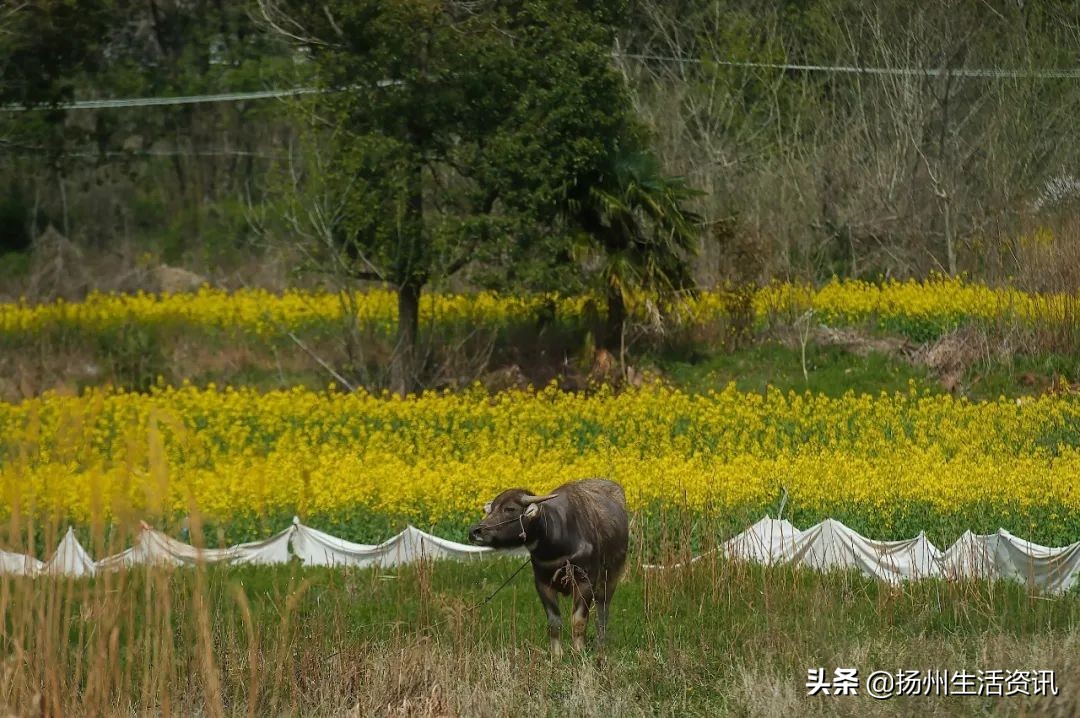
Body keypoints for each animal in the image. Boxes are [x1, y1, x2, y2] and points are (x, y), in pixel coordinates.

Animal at [466, 475, 630, 656]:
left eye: (509, 508)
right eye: (490, 509)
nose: (474, 531)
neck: (557, 541)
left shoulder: (585, 580)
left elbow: (579, 620)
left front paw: (579, 652)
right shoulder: (543, 583)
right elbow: (554, 622)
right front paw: (557, 654)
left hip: (611, 576)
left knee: (603, 610)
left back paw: (601, 644)